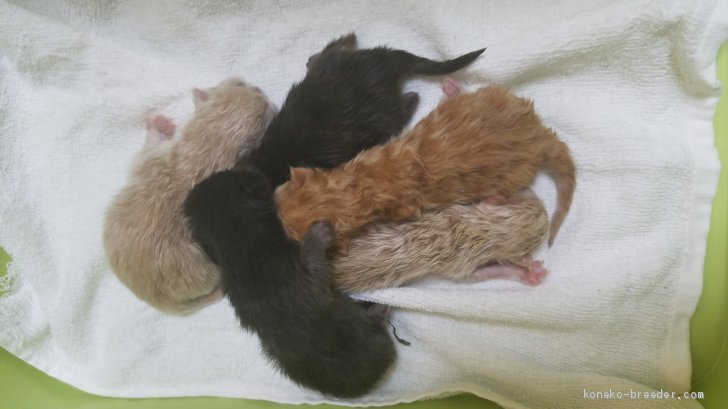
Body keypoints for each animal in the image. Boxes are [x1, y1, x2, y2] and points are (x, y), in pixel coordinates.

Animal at [103, 78, 275, 313]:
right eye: (241, 85)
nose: (260, 90)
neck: (211, 143)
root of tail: (155, 299)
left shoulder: (153, 159)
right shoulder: (156, 158)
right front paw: (160, 124)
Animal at [183, 166, 396, 397]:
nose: (248, 167)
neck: (239, 240)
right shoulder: (309, 280)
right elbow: (315, 264)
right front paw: (319, 233)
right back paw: (379, 310)